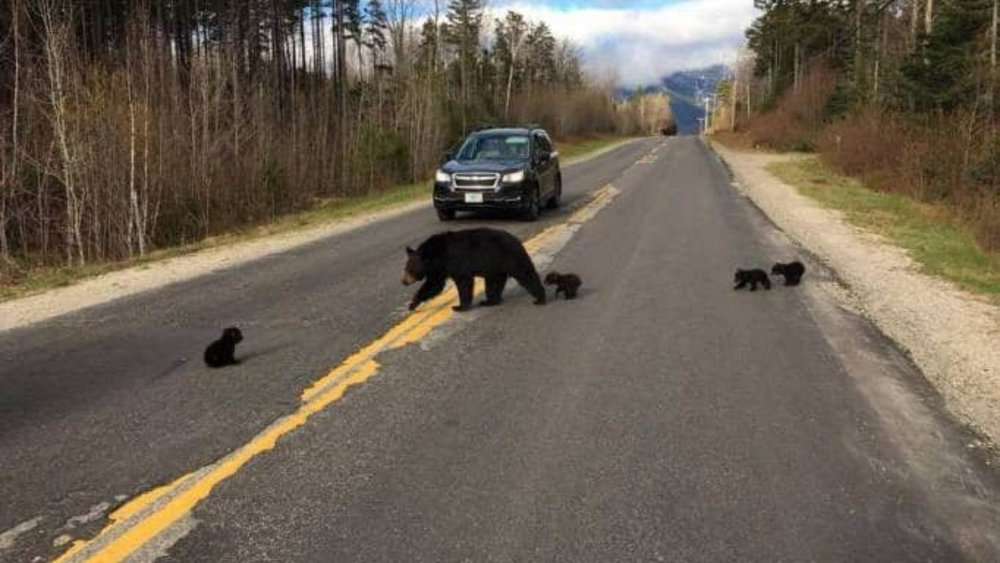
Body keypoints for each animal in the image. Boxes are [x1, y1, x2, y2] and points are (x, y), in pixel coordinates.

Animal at [403, 228, 547, 312]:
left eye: (409, 269)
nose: (403, 282)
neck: (435, 255)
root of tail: (517, 240)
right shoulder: (439, 269)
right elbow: (434, 285)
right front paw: (413, 304)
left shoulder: (455, 261)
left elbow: (463, 282)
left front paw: (459, 307)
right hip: (495, 267)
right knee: (493, 284)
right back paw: (489, 301)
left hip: (510, 257)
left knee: (526, 274)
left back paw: (540, 298)